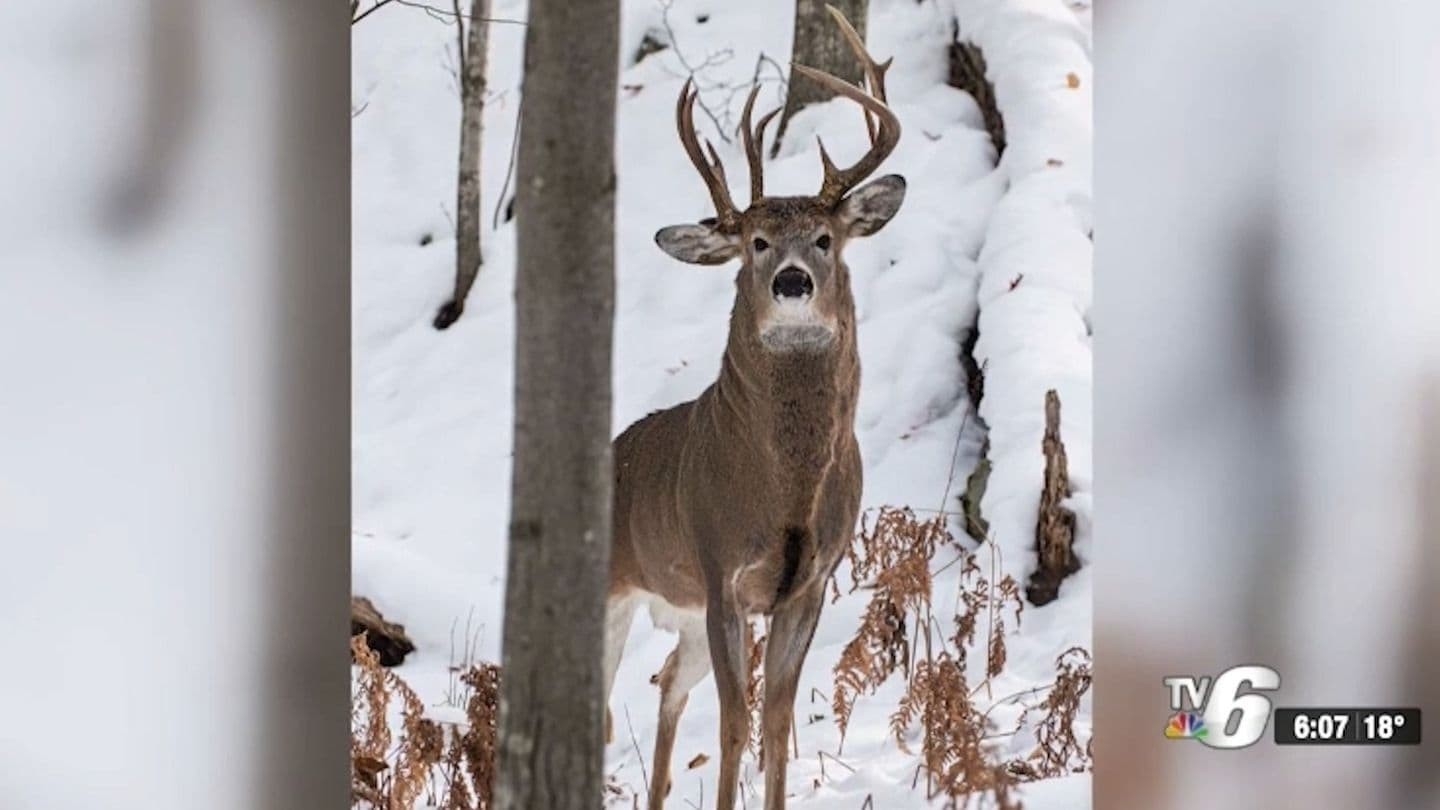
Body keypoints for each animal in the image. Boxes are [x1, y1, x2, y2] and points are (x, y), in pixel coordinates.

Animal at [604, 7, 898, 807]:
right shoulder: (721, 574)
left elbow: (775, 720)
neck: (784, 491)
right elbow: (736, 723)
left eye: (825, 237)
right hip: (614, 589)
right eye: (757, 243)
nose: (793, 281)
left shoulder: (811, 581)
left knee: (667, 684)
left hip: (679, 618)